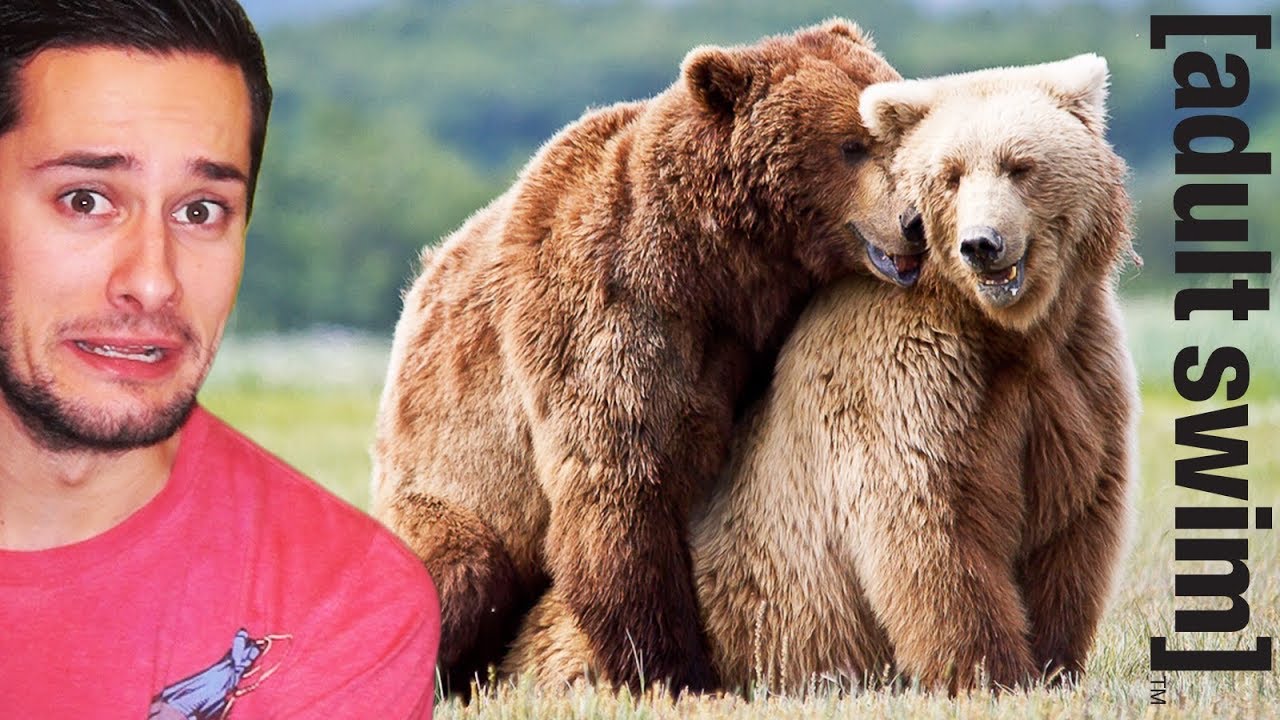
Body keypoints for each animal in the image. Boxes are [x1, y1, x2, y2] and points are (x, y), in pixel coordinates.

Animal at [371, 19, 923, 694]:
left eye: (903, 128)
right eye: (851, 144)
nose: (915, 221)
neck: (717, 269)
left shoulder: (739, 338)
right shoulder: (604, 315)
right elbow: (620, 491)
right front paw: (673, 670)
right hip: (444, 484)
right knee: (460, 568)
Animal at [502, 53, 1138, 694]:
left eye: (1020, 165)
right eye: (951, 175)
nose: (981, 243)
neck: (1007, 331)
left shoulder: (1075, 373)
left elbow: (1073, 524)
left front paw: (1054, 665)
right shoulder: (909, 377)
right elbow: (936, 523)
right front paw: (993, 671)